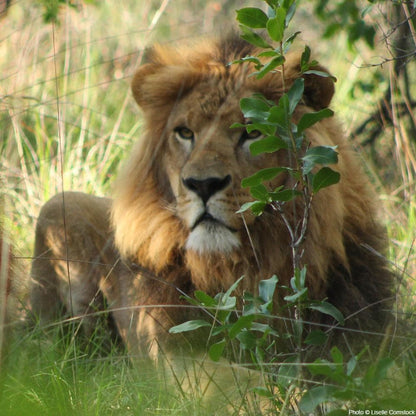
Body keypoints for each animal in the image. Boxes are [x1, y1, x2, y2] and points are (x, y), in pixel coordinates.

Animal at [29, 34, 394, 362]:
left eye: (253, 133)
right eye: (184, 133)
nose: (202, 185)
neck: (239, 269)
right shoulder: (173, 357)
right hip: (59, 208)